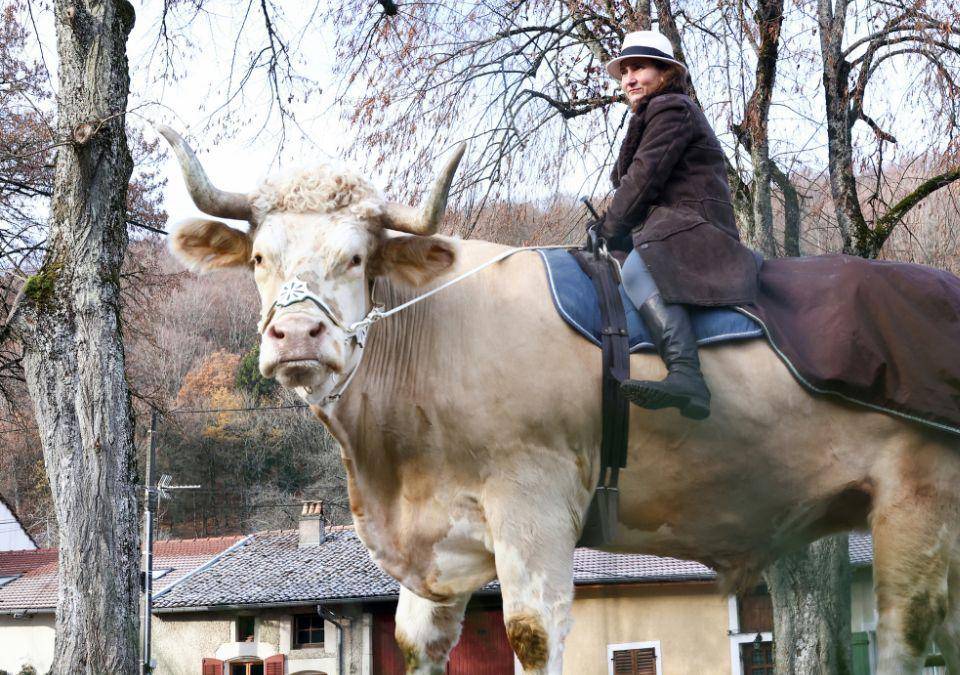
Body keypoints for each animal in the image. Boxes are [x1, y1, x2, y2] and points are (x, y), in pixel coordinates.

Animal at [159, 124, 960, 672]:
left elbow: (531, 637)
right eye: (258, 258)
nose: (296, 334)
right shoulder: (441, 551)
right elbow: (418, 645)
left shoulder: (534, 505)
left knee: (905, 635)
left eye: (356, 257)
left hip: (917, 498)